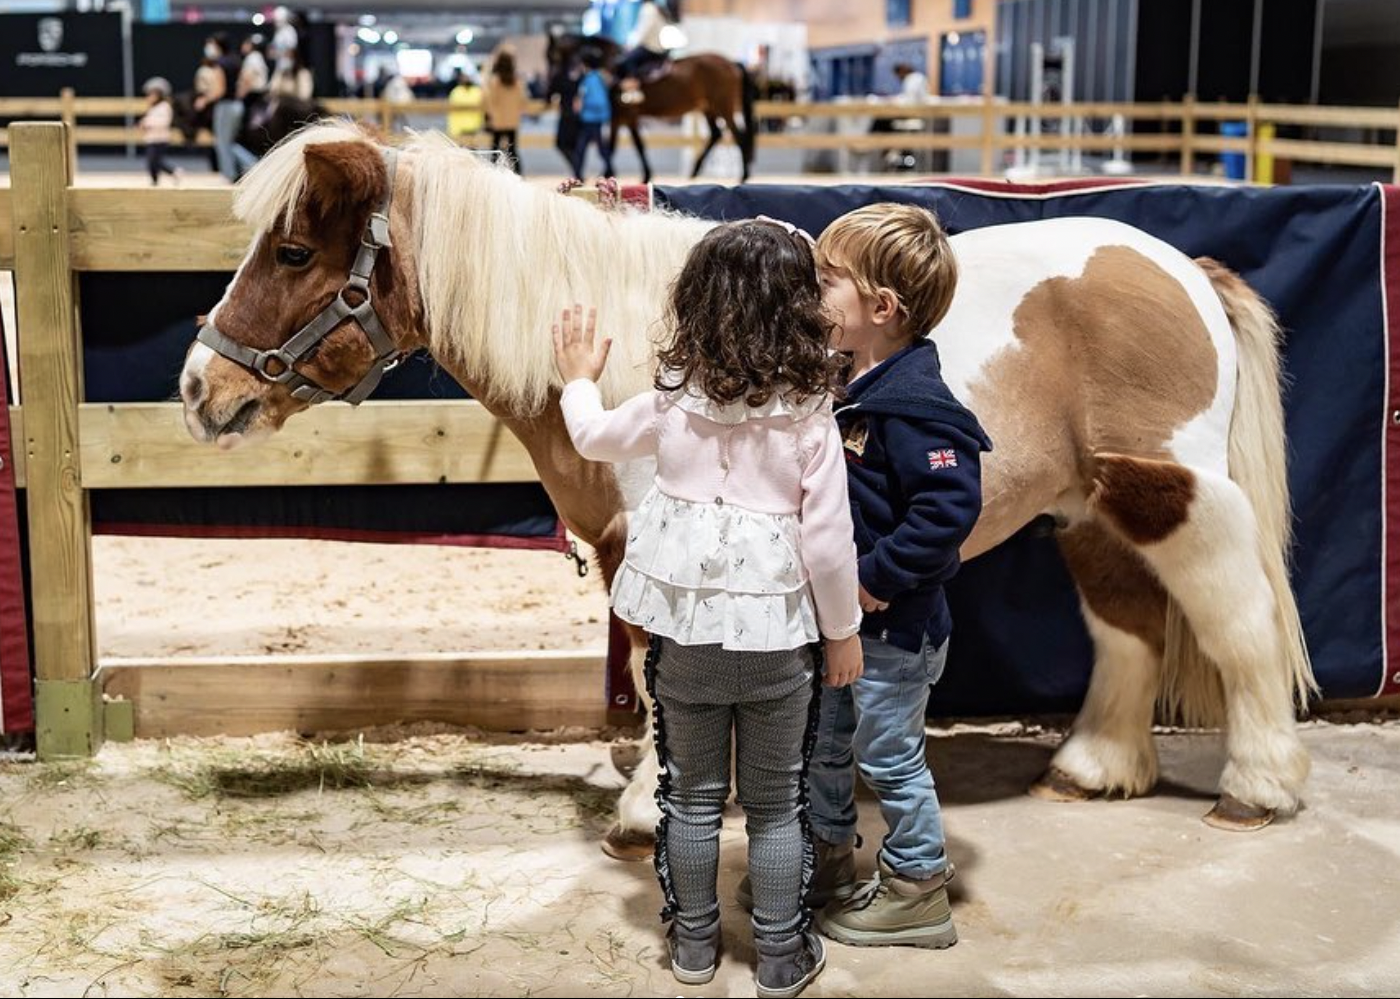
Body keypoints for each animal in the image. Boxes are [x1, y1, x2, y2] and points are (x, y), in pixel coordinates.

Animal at [183, 124, 1310, 856]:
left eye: (294, 249)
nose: (201, 390)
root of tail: (1181, 268)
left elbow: (658, 671)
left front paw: (648, 811)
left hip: (1173, 491)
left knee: (1237, 621)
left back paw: (1258, 786)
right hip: (1088, 508)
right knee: (1126, 627)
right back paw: (1092, 769)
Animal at [540, 32, 756, 183]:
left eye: (552, 57)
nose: (548, 91)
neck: (613, 65)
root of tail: (731, 63)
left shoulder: (626, 116)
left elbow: (631, 146)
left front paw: (621, 174)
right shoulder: (621, 119)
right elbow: (621, 146)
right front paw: (626, 174)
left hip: (723, 106)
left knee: (738, 136)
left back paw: (743, 176)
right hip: (708, 108)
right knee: (716, 134)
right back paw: (694, 172)